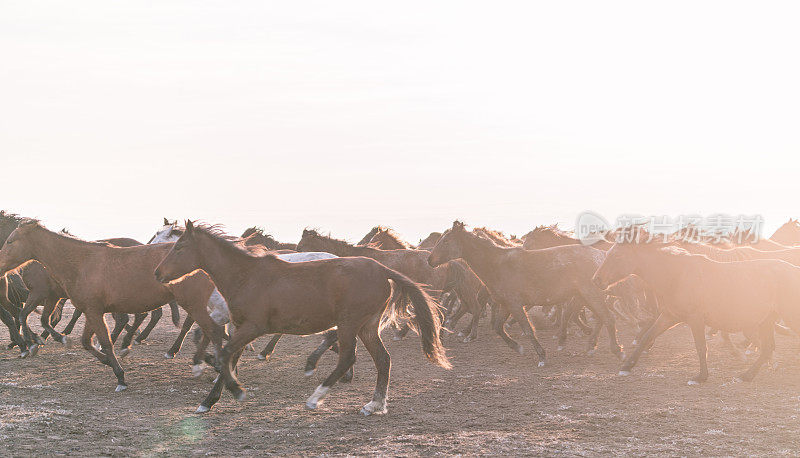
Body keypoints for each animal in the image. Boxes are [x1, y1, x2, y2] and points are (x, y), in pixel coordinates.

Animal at [0, 220, 225, 392]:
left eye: (10, 241)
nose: (0, 266)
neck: (80, 262)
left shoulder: (87, 309)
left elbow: (105, 342)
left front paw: (120, 377)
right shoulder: (91, 310)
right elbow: (86, 342)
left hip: (194, 304)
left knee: (211, 332)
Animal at [428, 220, 620, 364]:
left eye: (446, 241)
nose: (429, 259)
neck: (496, 264)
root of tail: (601, 257)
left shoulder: (515, 305)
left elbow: (528, 329)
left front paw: (541, 355)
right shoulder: (506, 305)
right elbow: (498, 327)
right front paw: (517, 347)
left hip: (591, 295)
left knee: (608, 318)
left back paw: (616, 350)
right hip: (584, 297)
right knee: (599, 318)